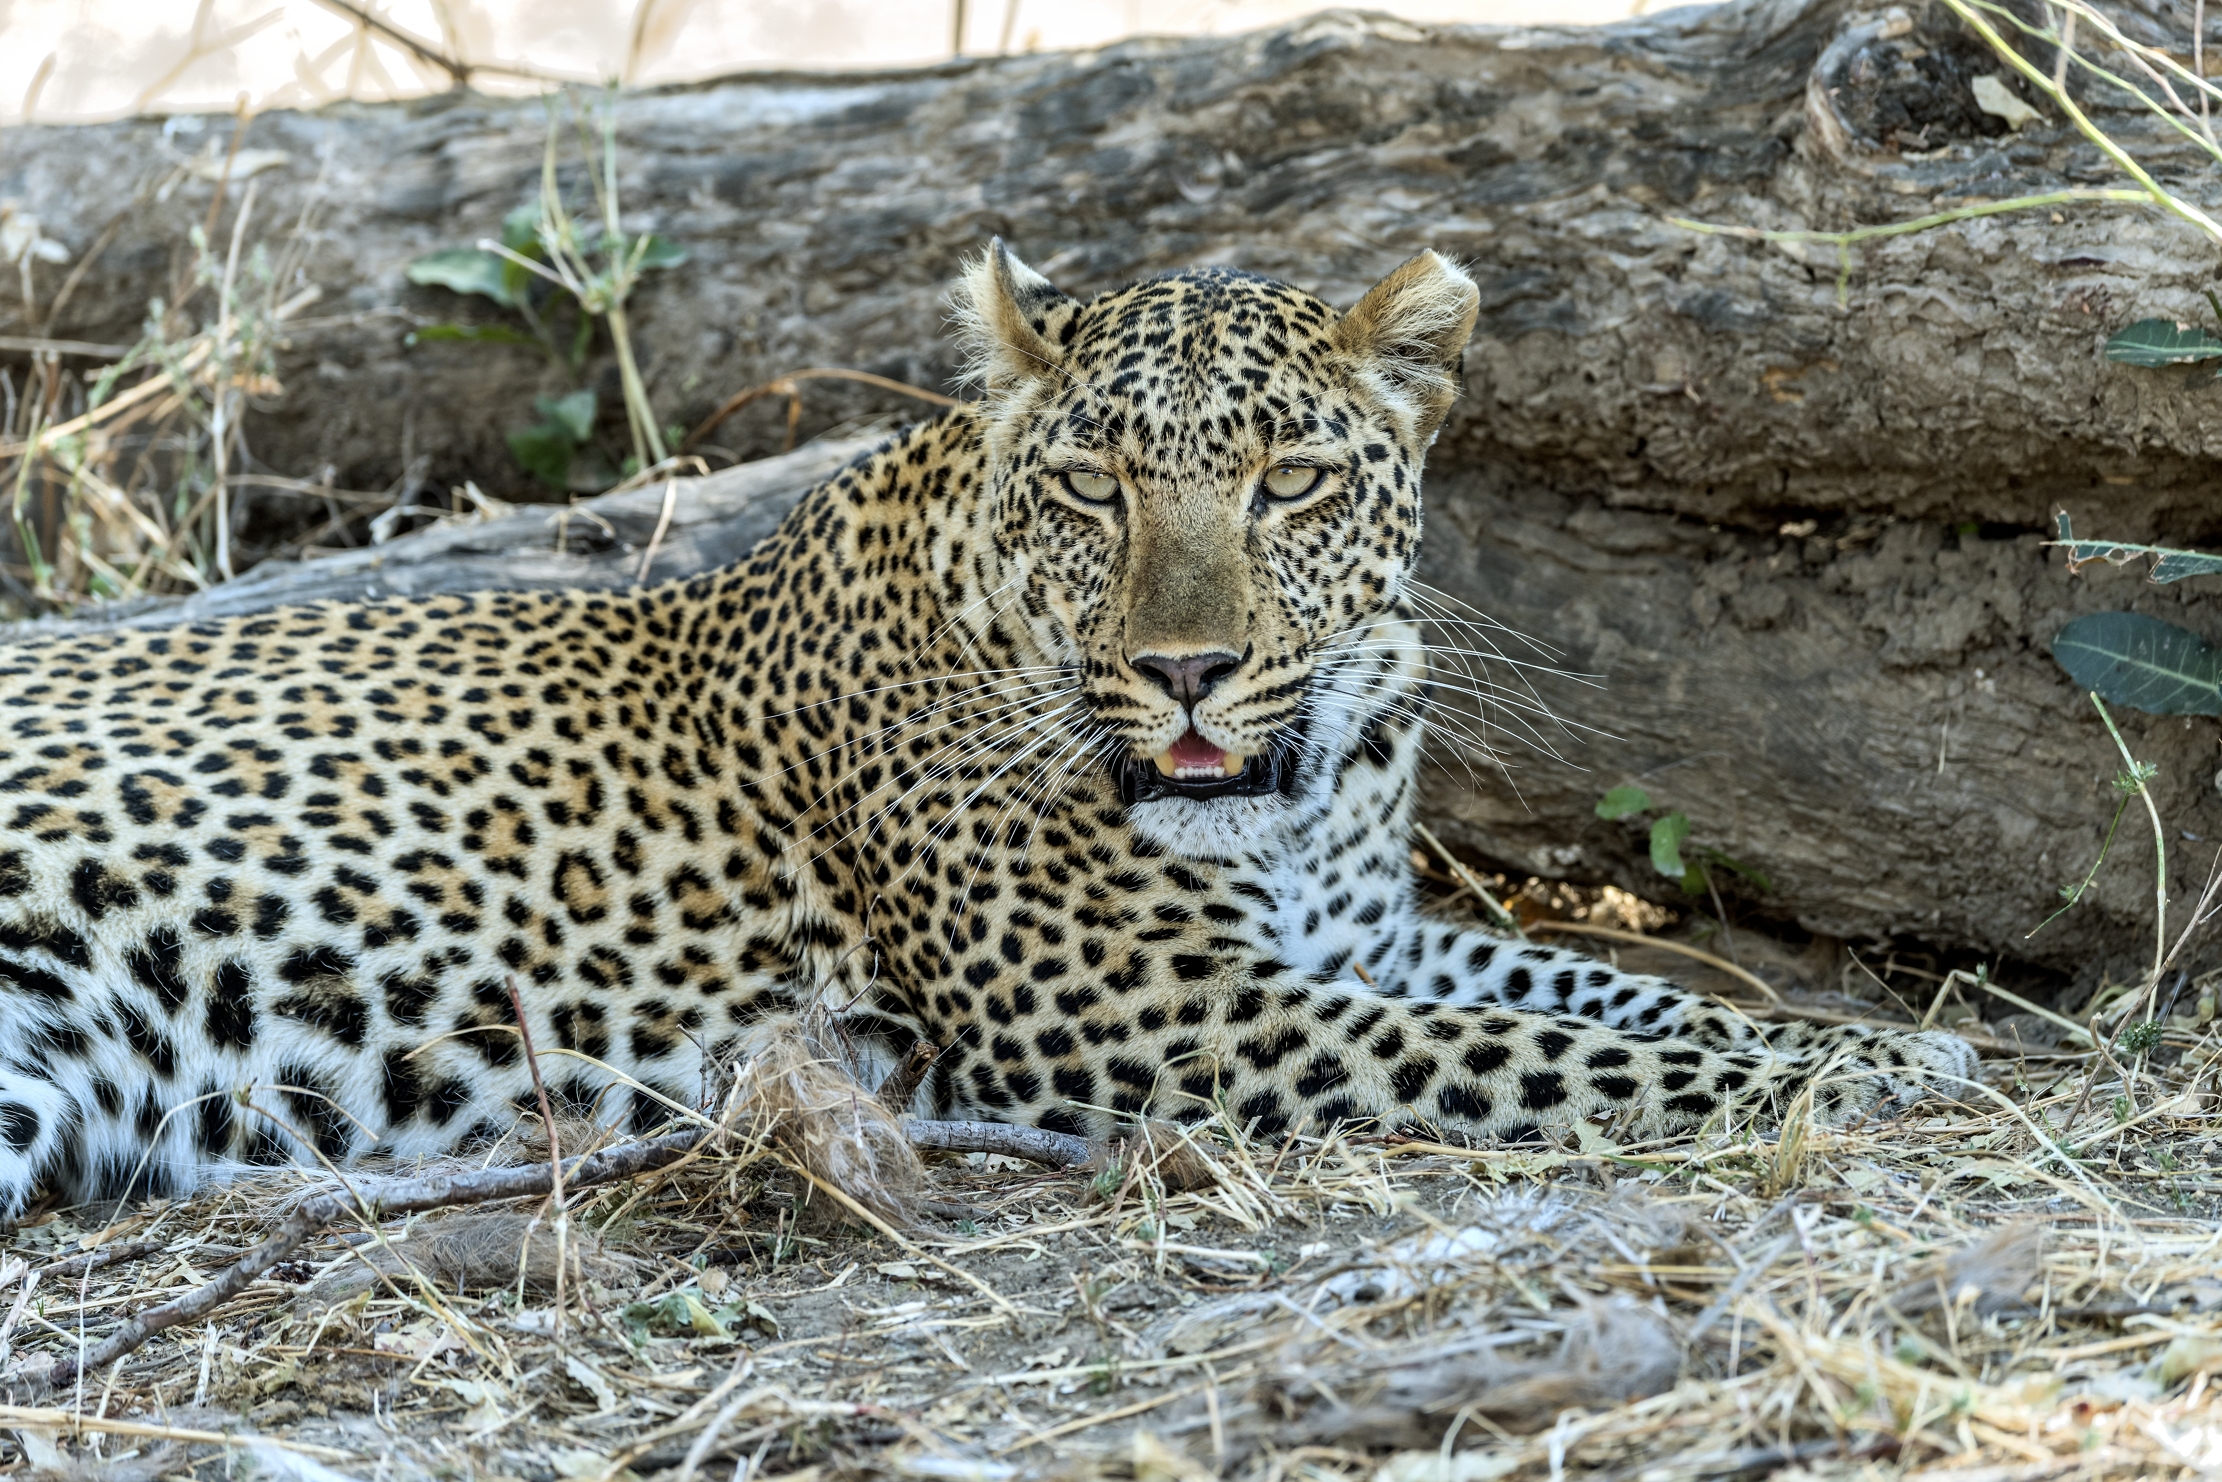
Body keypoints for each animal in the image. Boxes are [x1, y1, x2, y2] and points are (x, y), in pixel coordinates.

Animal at [0, 243, 1976, 1216]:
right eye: (1096, 489)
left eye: (1289, 481)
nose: (1187, 671)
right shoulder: (1150, 1020)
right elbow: (1560, 1056)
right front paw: (1842, 1082)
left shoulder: (1363, 936)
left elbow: (1605, 988)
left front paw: (1890, 1047)